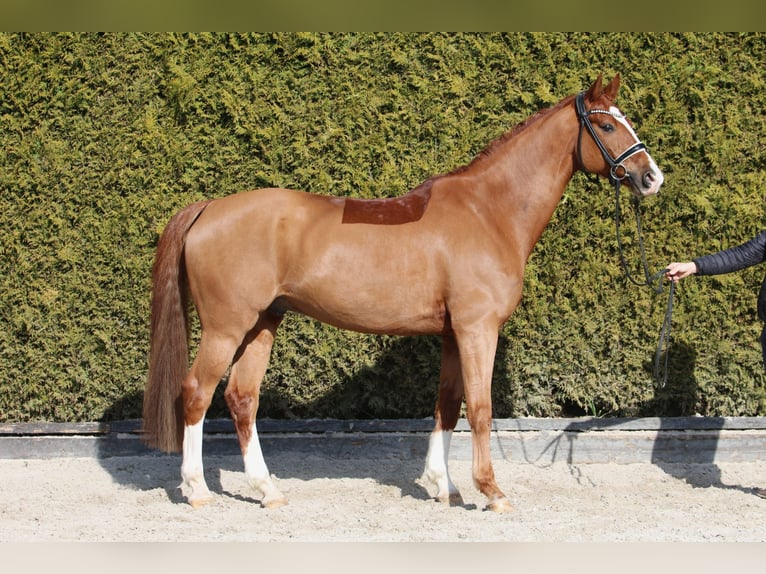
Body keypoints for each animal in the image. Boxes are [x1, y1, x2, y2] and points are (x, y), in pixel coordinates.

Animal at [144, 75, 664, 512]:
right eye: (605, 124)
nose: (652, 177)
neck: (488, 211)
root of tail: (209, 207)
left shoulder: (454, 334)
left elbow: (447, 405)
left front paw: (443, 486)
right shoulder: (478, 330)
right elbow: (480, 408)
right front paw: (491, 491)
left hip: (262, 324)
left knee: (242, 398)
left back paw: (267, 490)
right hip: (226, 328)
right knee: (197, 393)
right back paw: (196, 489)